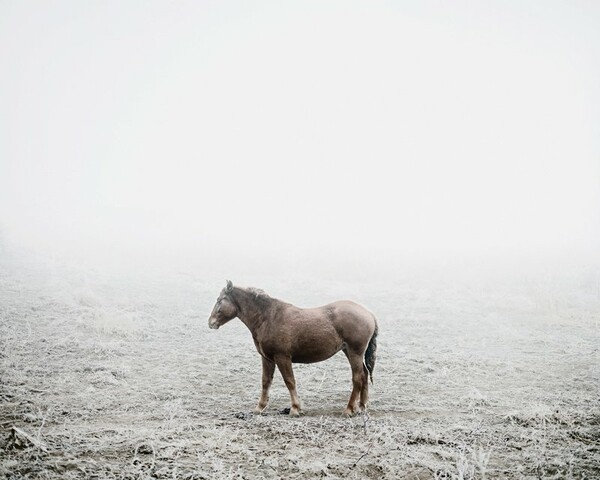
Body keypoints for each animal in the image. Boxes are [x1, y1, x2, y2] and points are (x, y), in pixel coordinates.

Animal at [209, 282, 378, 416]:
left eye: (219, 300)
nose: (211, 322)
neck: (268, 317)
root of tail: (368, 313)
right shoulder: (267, 358)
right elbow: (266, 381)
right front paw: (260, 408)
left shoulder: (282, 357)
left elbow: (289, 381)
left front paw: (295, 408)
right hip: (349, 352)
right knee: (364, 375)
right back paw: (362, 406)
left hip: (355, 352)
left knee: (357, 378)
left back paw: (349, 409)